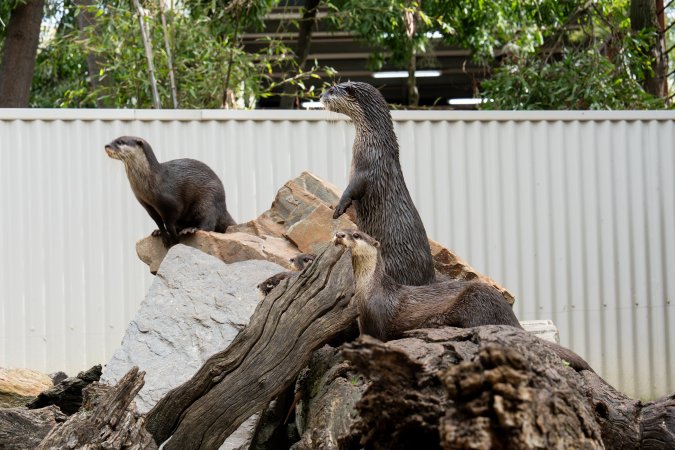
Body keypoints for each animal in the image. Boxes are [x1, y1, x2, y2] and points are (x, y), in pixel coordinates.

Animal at [105, 136, 236, 247]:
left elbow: (169, 223)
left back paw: (192, 229)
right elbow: (158, 221)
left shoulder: (172, 204)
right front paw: (162, 235)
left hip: (209, 198)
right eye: (113, 139)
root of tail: (224, 207)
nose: (106, 145)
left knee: (208, 222)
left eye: (121, 141)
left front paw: (175, 240)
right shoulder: (147, 205)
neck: (151, 182)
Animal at [320, 82, 435, 286]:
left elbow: (351, 191)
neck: (373, 144)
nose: (320, 96)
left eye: (331, 91)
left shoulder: (367, 170)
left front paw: (338, 210)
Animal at [333, 229, 593, 372]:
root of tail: (510, 315)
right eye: (343, 229)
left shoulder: (377, 318)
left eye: (356, 234)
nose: (339, 234)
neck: (368, 289)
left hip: (475, 301)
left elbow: (377, 339)